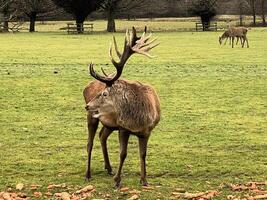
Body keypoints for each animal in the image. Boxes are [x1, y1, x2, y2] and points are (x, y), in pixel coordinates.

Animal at [83, 27, 161, 188]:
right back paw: (88, 174)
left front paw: (144, 180)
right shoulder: (123, 128)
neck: (139, 121)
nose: (87, 105)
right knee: (89, 143)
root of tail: (86, 87)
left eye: (104, 94)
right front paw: (117, 181)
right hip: (93, 118)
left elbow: (143, 154)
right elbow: (123, 153)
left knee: (102, 135)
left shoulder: (147, 131)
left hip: (109, 124)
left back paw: (108, 168)